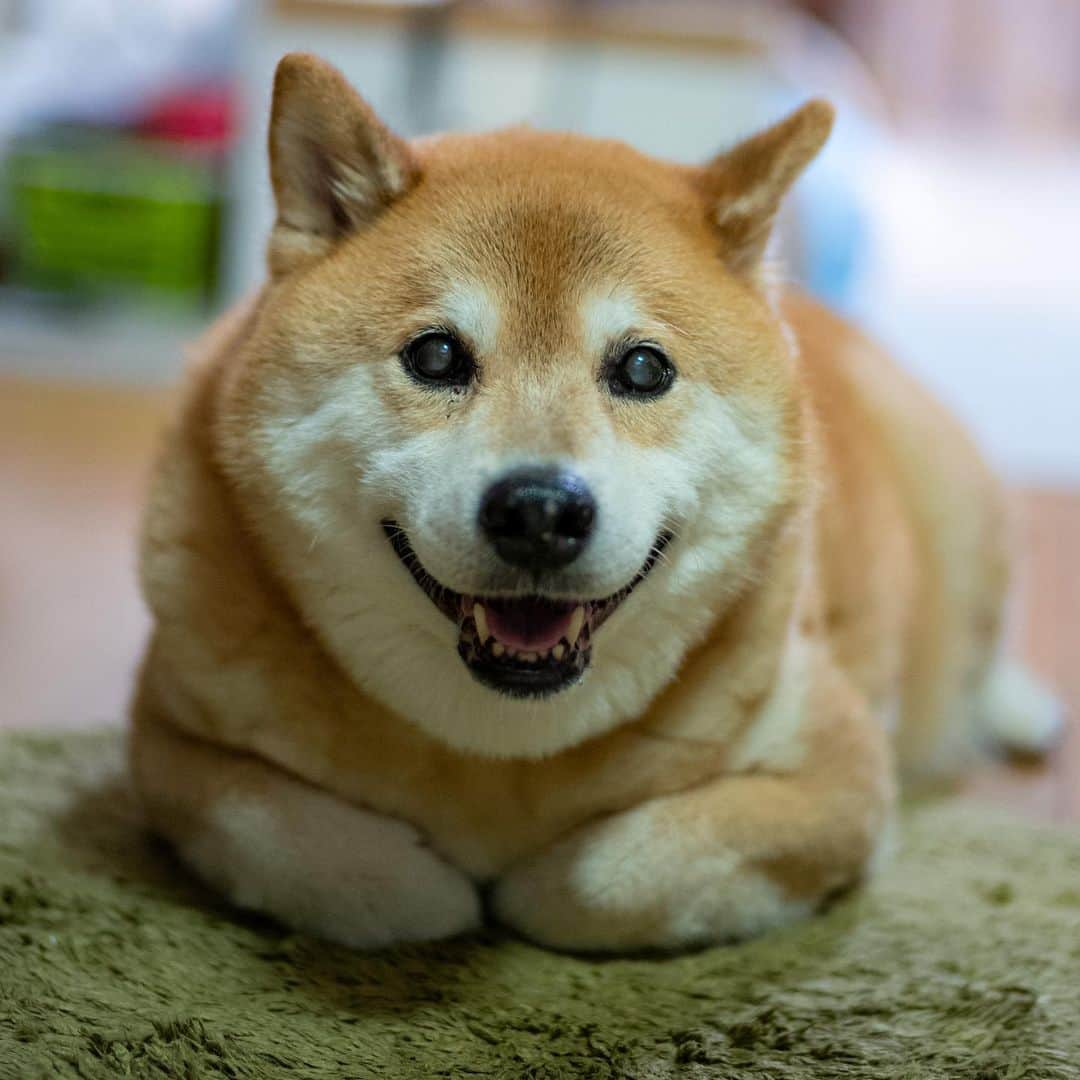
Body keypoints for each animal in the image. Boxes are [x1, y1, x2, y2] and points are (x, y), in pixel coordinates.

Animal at [128, 54, 1062, 950]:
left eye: (643, 368)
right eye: (436, 356)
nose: (539, 511)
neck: (502, 747)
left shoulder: (842, 776)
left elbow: (607, 876)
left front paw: (530, 887)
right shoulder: (169, 740)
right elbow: (309, 850)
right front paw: (429, 887)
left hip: (955, 517)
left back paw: (1017, 707)